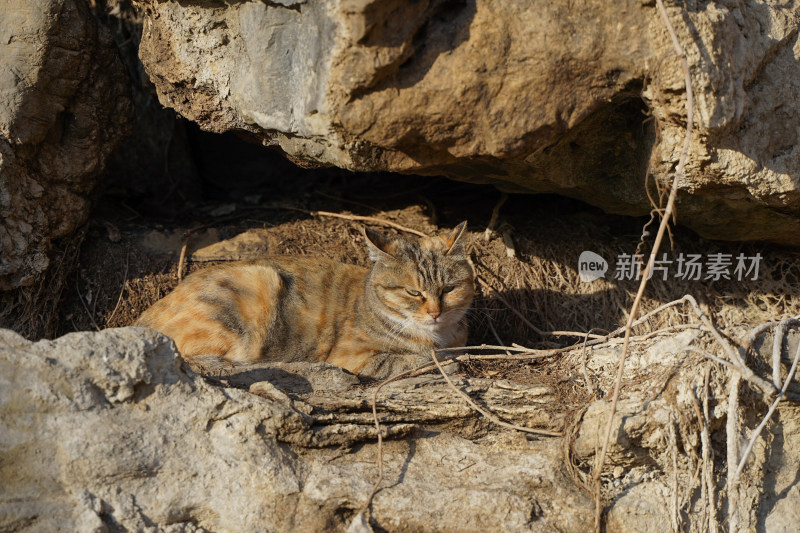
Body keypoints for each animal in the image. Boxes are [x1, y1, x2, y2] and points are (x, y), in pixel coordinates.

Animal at [136, 220, 476, 378]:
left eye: (448, 289)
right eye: (413, 292)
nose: (434, 312)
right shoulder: (352, 357)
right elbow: (413, 359)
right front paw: (445, 362)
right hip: (259, 281)